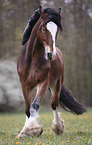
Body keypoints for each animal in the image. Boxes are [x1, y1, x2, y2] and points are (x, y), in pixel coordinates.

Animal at [16, 5, 86, 138]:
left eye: (57, 30)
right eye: (44, 28)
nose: (50, 54)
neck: (32, 59)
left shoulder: (43, 83)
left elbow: (35, 105)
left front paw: (32, 129)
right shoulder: (25, 85)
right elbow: (27, 108)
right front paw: (26, 131)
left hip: (56, 84)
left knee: (54, 104)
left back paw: (58, 128)